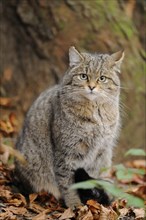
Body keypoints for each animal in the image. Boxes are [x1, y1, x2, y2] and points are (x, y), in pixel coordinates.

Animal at [14, 46, 124, 208]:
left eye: (102, 78)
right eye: (83, 76)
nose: (92, 87)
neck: (95, 114)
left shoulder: (101, 151)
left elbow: (93, 177)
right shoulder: (67, 153)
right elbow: (68, 183)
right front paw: (75, 205)